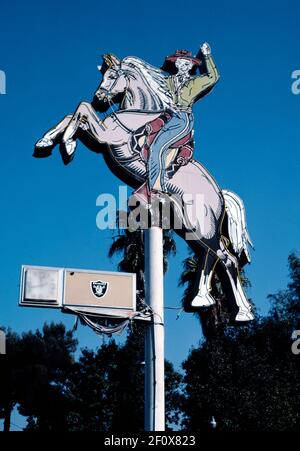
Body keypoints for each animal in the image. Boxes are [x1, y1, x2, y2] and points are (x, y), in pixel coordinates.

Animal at [34, 53, 253, 322]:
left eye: (111, 75)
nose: (100, 97)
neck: (138, 111)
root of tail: (220, 195)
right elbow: (74, 112)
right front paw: (46, 141)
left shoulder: (108, 135)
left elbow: (82, 108)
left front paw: (67, 144)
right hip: (193, 224)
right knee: (213, 256)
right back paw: (204, 300)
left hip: (201, 224)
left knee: (227, 260)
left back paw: (240, 312)